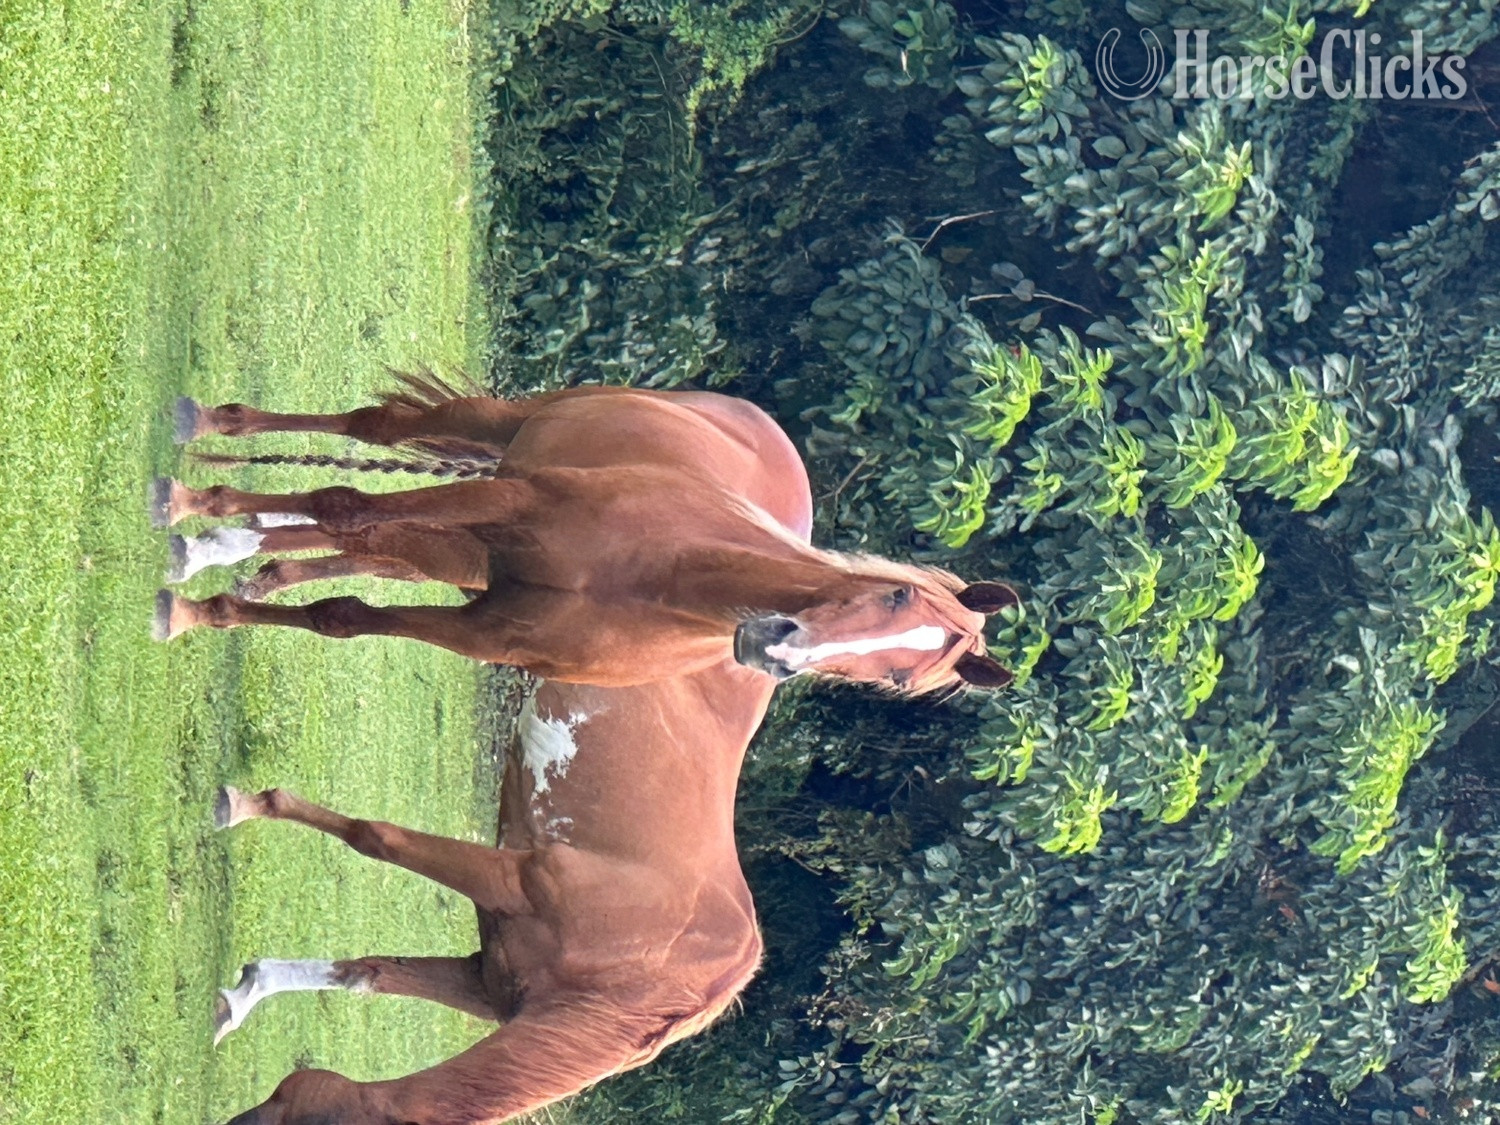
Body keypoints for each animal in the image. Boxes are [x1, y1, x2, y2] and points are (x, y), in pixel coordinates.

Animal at [152, 376, 1018, 692]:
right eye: (895, 593)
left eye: (898, 679)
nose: (773, 645)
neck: (647, 580)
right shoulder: (510, 497)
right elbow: (342, 502)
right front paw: (197, 523)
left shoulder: (485, 628)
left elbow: (343, 613)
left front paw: (211, 599)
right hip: (497, 433)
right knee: (373, 436)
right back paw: (211, 444)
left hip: (465, 553)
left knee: (370, 546)